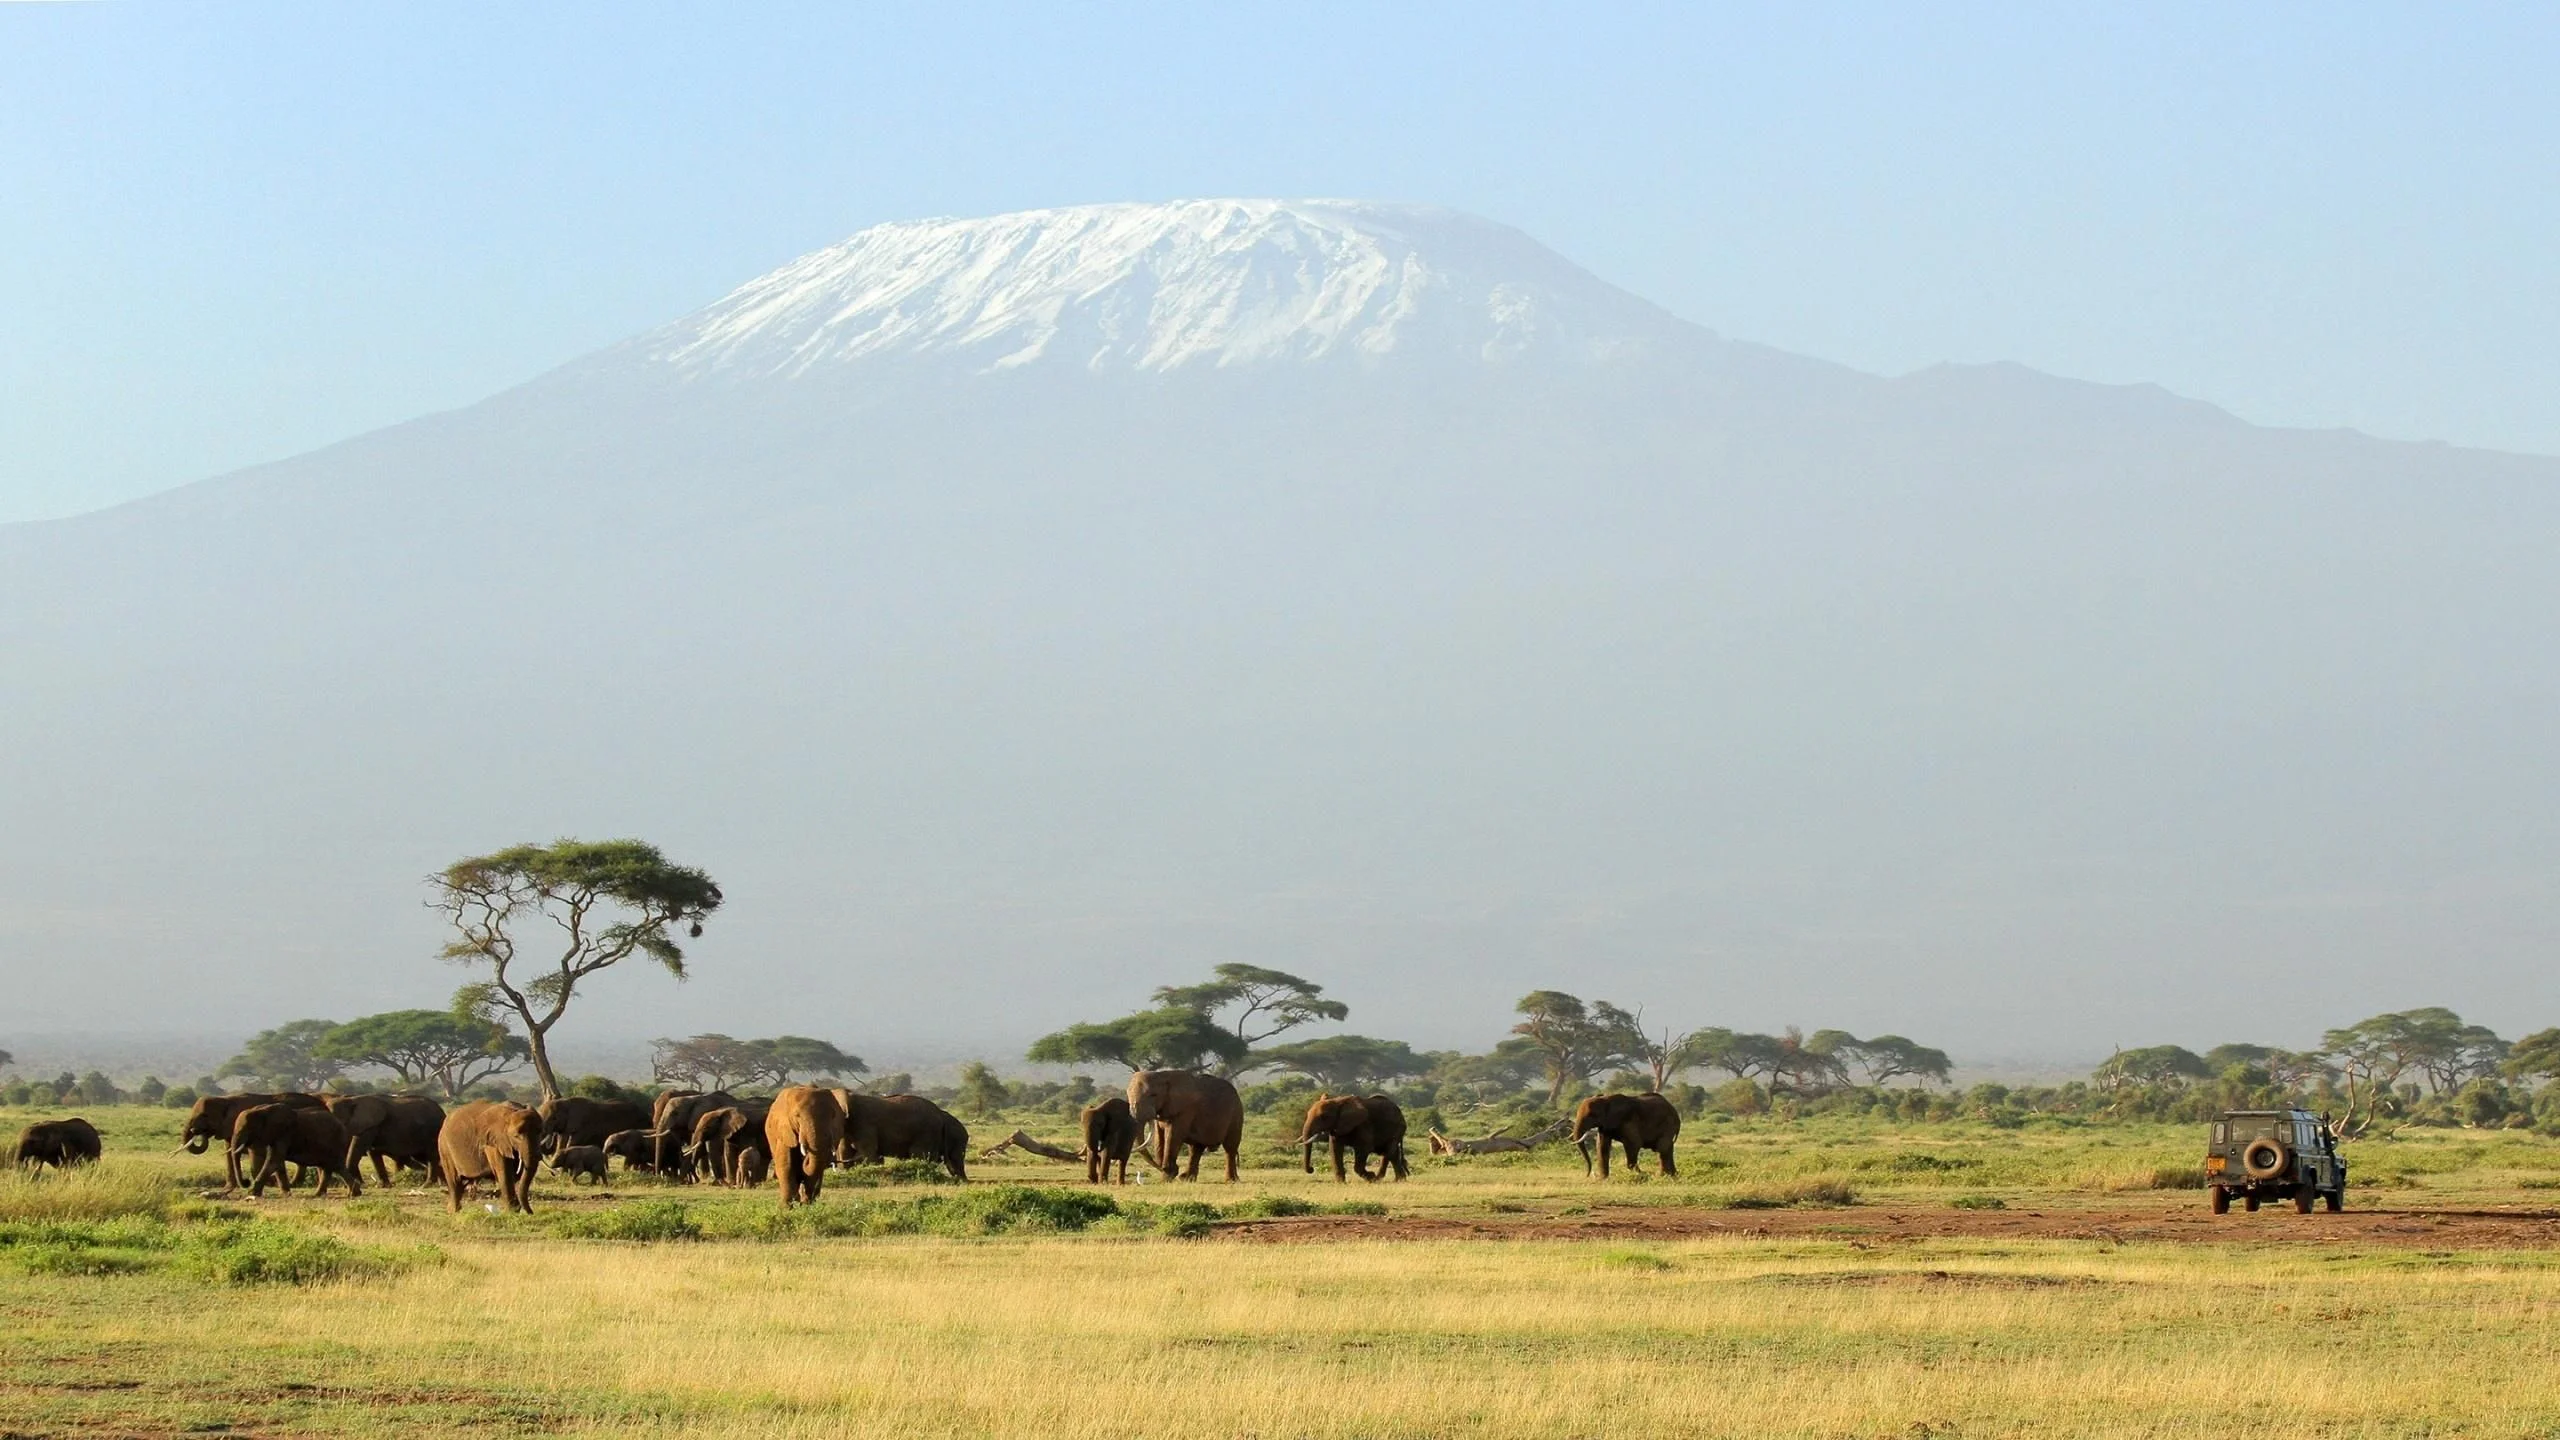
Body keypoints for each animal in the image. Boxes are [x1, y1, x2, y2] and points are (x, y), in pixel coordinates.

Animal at [231, 1101, 363, 1194]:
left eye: (245, 1129)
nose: (246, 1181)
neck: (262, 1110)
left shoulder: (284, 1134)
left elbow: (274, 1160)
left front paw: (252, 1193)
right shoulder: (275, 1136)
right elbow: (277, 1162)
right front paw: (286, 1193)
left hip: (336, 1143)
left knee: (335, 1166)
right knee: (331, 1168)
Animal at [829, 1086, 967, 1178]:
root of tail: (940, 1112)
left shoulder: (864, 1123)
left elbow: (868, 1154)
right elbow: (845, 1152)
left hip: (926, 1132)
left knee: (921, 1155)